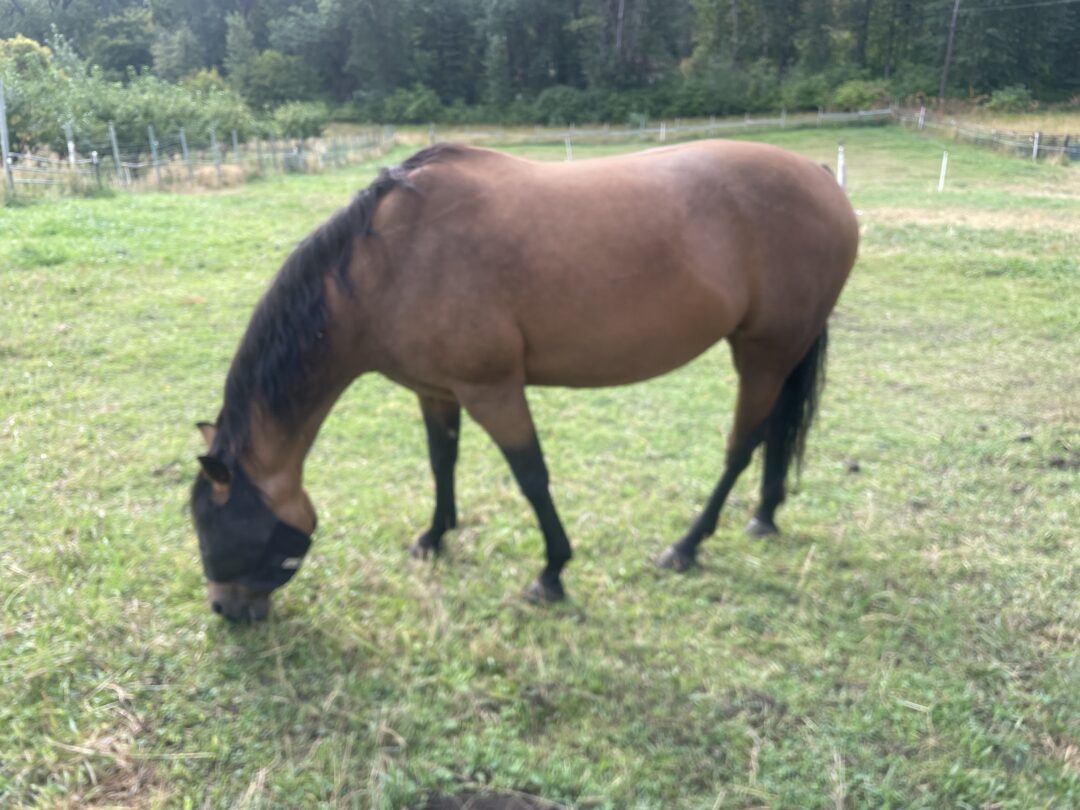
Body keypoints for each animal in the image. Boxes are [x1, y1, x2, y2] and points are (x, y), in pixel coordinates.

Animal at [191, 140, 858, 621]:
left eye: (210, 525)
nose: (226, 610)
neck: (390, 261)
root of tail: (820, 176)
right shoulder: (436, 391)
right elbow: (442, 461)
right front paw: (435, 537)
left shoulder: (493, 390)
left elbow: (531, 477)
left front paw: (552, 574)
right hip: (781, 354)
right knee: (775, 434)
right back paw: (765, 514)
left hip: (763, 353)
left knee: (741, 446)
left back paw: (687, 546)